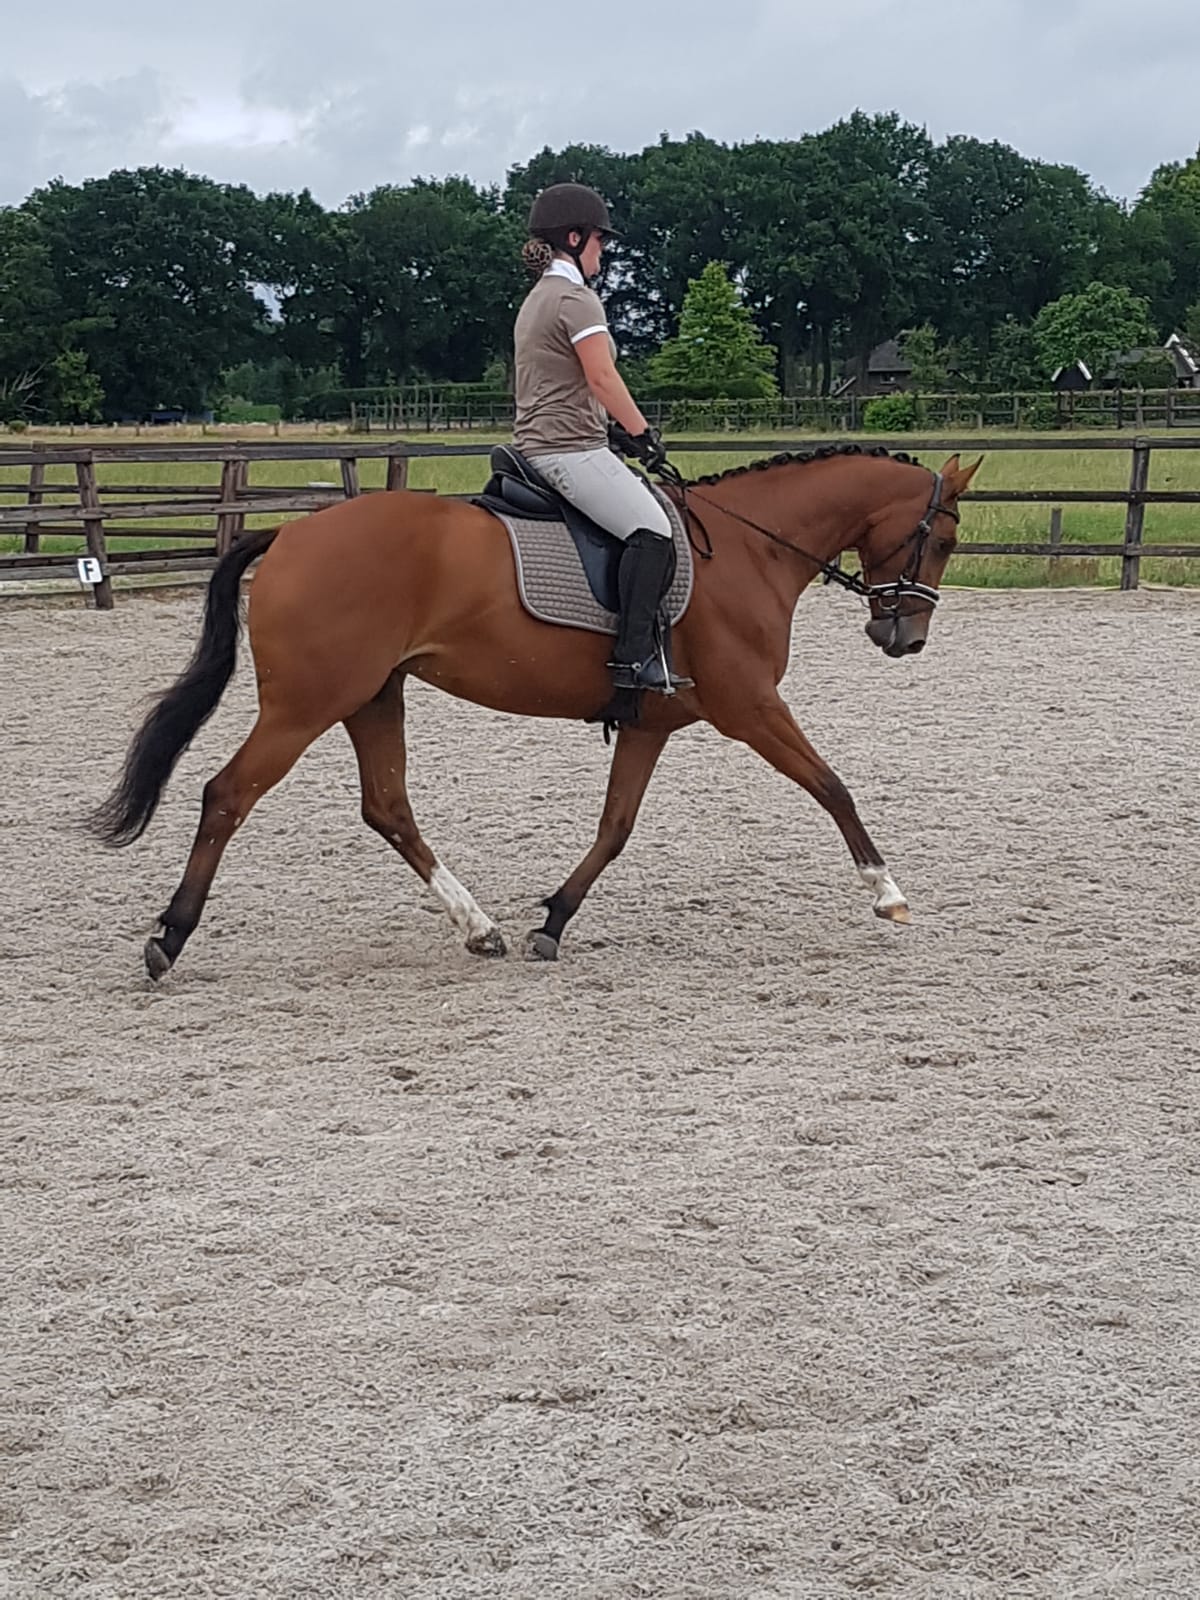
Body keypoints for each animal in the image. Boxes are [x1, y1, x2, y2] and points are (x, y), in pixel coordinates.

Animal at [91, 444, 979, 979]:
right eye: (942, 539)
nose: (904, 638)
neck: (750, 549)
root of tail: (288, 535)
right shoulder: (751, 706)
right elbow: (832, 786)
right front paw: (887, 893)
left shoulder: (652, 724)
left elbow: (615, 828)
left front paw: (553, 919)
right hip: (308, 702)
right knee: (228, 795)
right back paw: (169, 937)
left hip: (373, 697)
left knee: (388, 807)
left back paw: (478, 927)